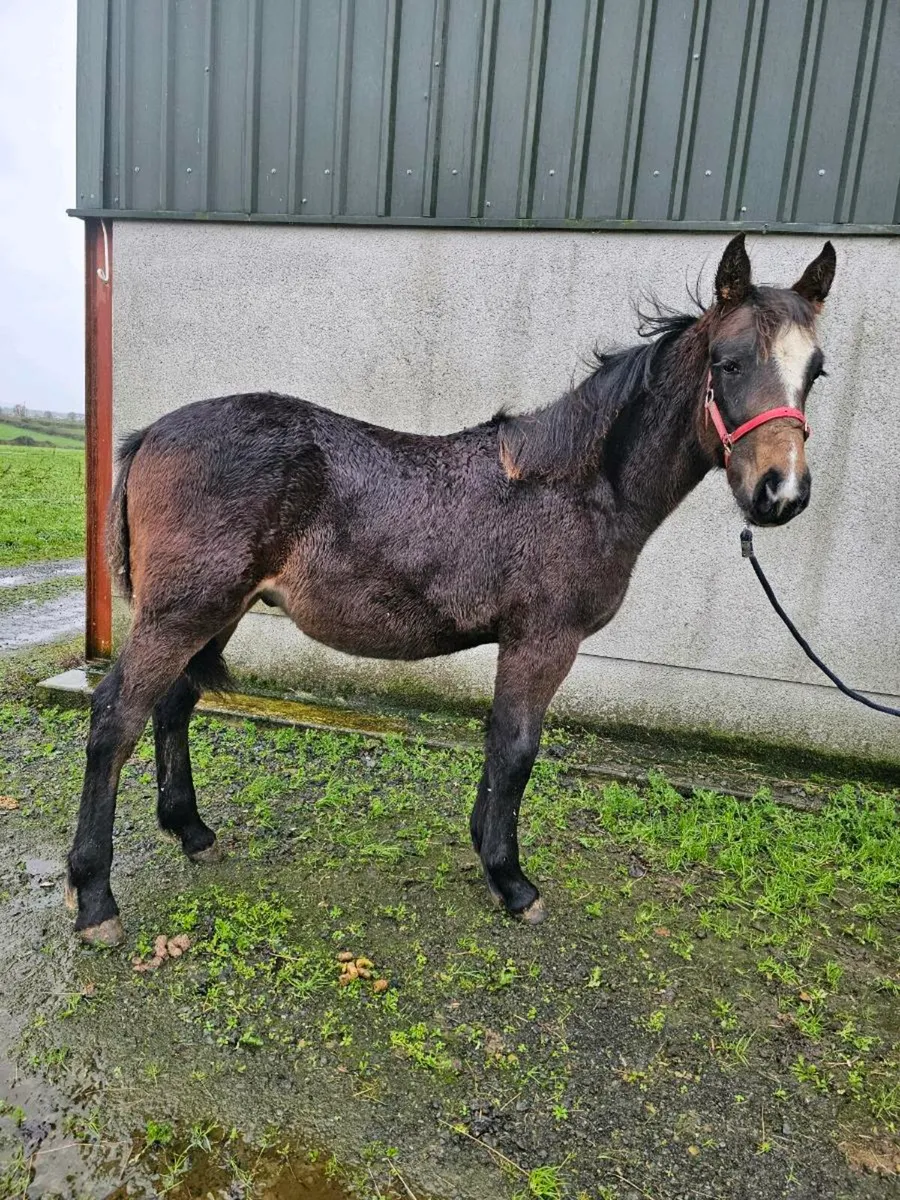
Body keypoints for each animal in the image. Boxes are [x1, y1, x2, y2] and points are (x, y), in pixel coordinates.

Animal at [67, 233, 836, 946]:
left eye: (817, 371)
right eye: (727, 362)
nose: (781, 493)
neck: (578, 486)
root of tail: (150, 433)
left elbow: (500, 744)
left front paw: (489, 854)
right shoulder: (543, 641)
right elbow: (517, 748)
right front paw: (512, 880)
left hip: (213, 611)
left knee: (173, 705)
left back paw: (192, 832)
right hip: (183, 613)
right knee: (115, 720)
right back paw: (96, 900)